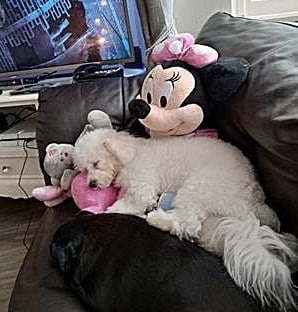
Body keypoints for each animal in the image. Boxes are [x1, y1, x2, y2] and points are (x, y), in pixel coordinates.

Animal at [74, 125, 298, 312]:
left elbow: (131, 203)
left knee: (187, 223)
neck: (131, 153)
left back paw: (158, 219)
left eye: (96, 163)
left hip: (199, 185)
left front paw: (109, 211)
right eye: (84, 170)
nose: (91, 184)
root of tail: (247, 204)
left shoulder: (142, 185)